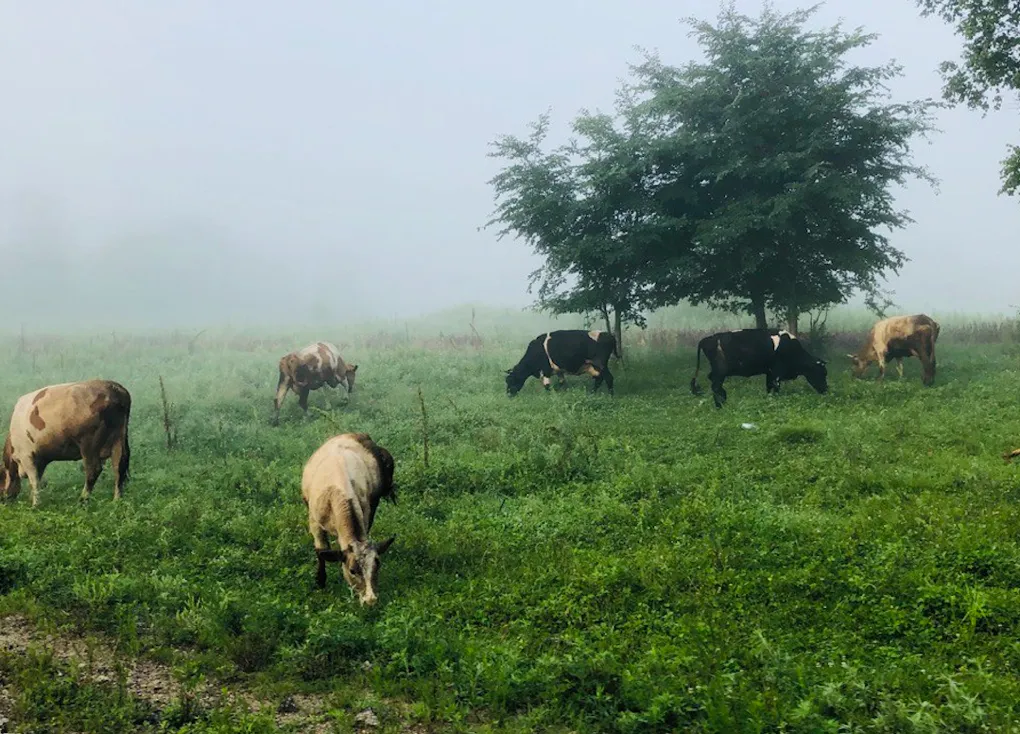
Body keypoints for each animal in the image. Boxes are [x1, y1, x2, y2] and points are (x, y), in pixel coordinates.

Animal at [0, 381, 131, 507]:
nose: (3, 501)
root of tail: (114, 388)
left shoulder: (26, 456)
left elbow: (34, 481)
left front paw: (35, 505)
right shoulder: (39, 459)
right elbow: (38, 479)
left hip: (89, 443)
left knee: (93, 469)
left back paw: (82, 501)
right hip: (119, 437)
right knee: (119, 467)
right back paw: (116, 501)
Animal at [299, 432, 395, 603]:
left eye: (377, 565)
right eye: (352, 571)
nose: (370, 599)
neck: (339, 491)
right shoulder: (314, 522)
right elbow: (321, 550)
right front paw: (320, 581)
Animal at [689, 328, 824, 407]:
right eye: (821, 372)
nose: (825, 389)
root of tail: (707, 339)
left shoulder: (770, 373)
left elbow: (769, 387)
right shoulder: (777, 372)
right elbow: (776, 388)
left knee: (714, 383)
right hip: (720, 371)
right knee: (716, 386)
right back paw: (721, 405)